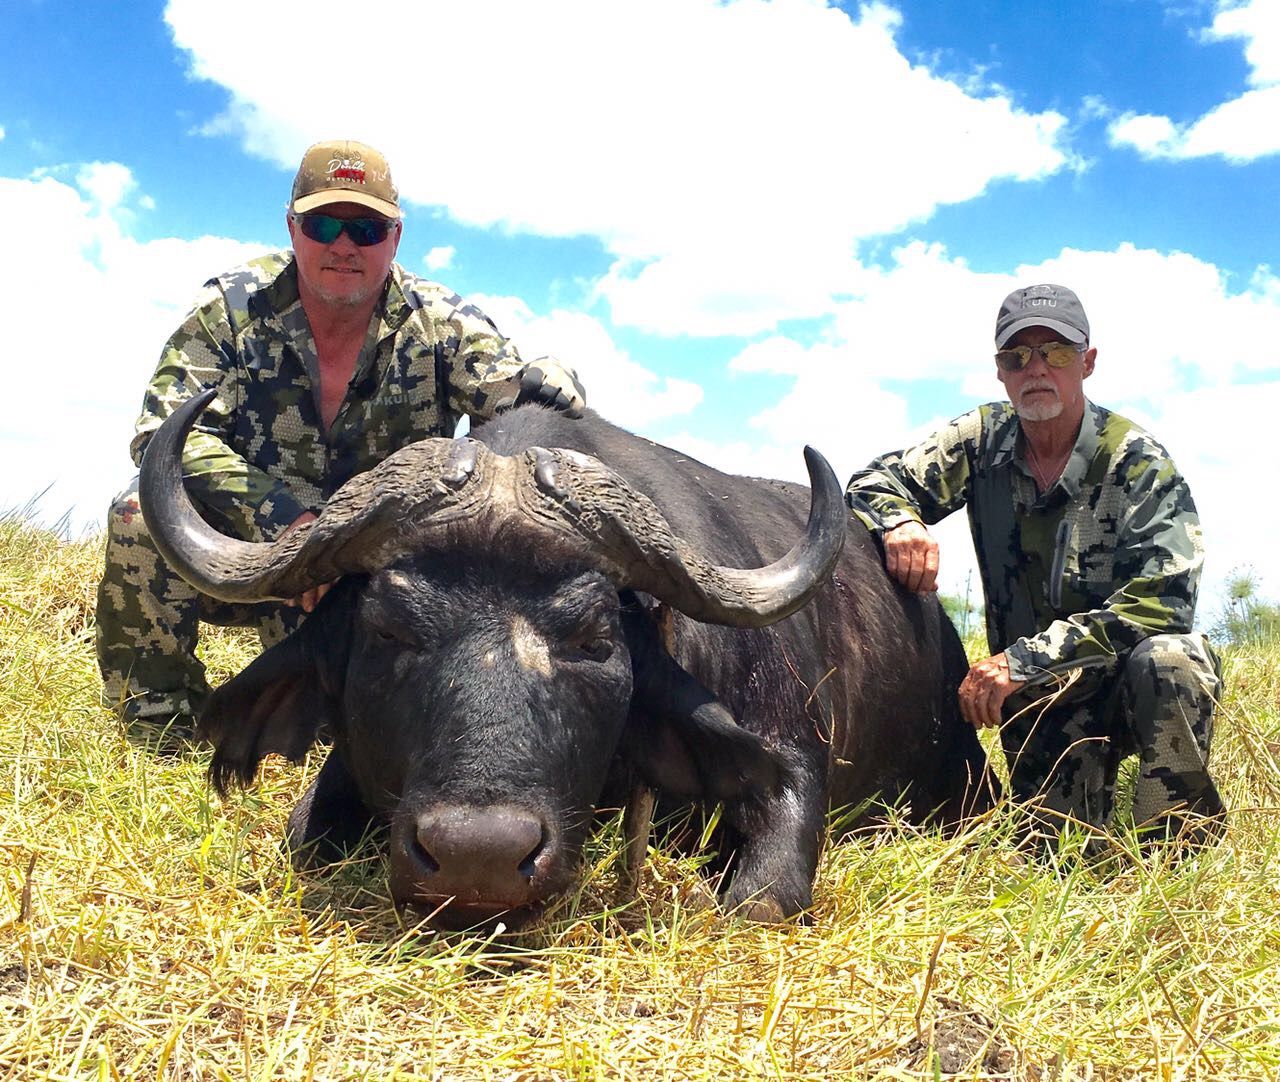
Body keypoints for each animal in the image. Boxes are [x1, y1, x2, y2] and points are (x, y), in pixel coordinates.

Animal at [140, 390, 994, 931]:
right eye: (388, 631)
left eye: (593, 638)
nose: (477, 858)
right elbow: (301, 839)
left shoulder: (788, 756)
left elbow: (759, 903)